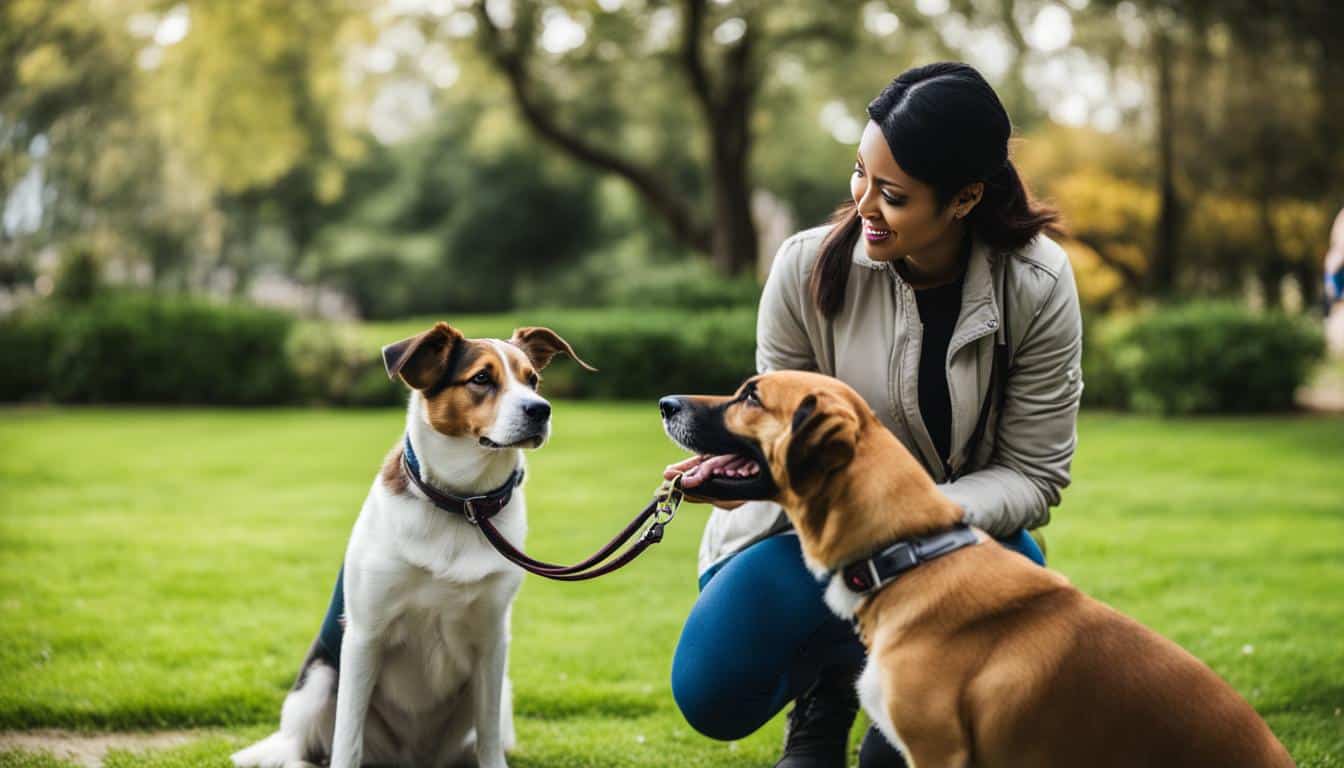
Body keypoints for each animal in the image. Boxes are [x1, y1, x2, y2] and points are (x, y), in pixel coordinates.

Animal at [233, 321, 591, 768]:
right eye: (481, 378)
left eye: (533, 380)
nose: (540, 409)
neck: (462, 504)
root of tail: (410, 757)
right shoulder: (365, 635)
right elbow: (346, 740)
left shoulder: (492, 640)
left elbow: (489, 739)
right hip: (318, 681)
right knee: (300, 749)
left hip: (499, 694)